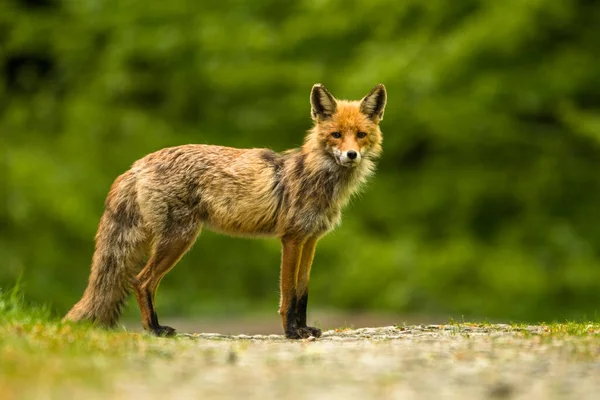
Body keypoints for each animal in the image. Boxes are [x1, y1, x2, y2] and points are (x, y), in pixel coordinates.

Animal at [63, 83, 386, 340]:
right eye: (336, 135)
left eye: (360, 135)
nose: (351, 155)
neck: (318, 177)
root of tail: (137, 164)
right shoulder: (291, 239)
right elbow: (288, 295)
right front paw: (292, 333)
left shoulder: (310, 240)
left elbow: (302, 293)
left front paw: (304, 329)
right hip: (179, 239)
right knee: (141, 281)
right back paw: (154, 329)